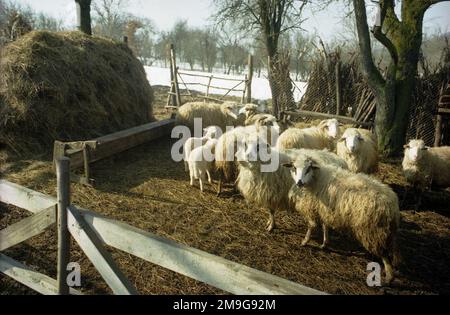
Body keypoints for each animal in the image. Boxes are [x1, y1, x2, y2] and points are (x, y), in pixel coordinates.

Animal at [284, 156, 400, 286]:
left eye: (308, 169)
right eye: (294, 168)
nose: (299, 182)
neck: (317, 178)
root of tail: (392, 204)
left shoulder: (312, 207)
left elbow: (312, 226)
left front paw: (305, 241)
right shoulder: (324, 209)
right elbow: (325, 225)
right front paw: (325, 243)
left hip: (373, 230)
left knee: (383, 253)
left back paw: (389, 277)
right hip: (385, 230)